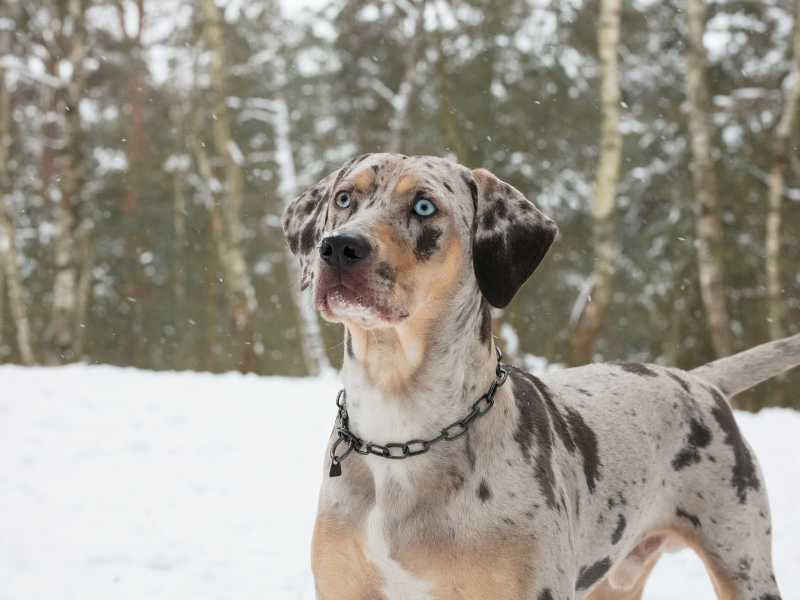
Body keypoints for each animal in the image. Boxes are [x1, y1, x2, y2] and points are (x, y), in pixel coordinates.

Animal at [282, 152, 792, 596]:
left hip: (742, 559)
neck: (399, 429)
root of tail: (700, 381)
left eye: (424, 205)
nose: (340, 247)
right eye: (344, 198)